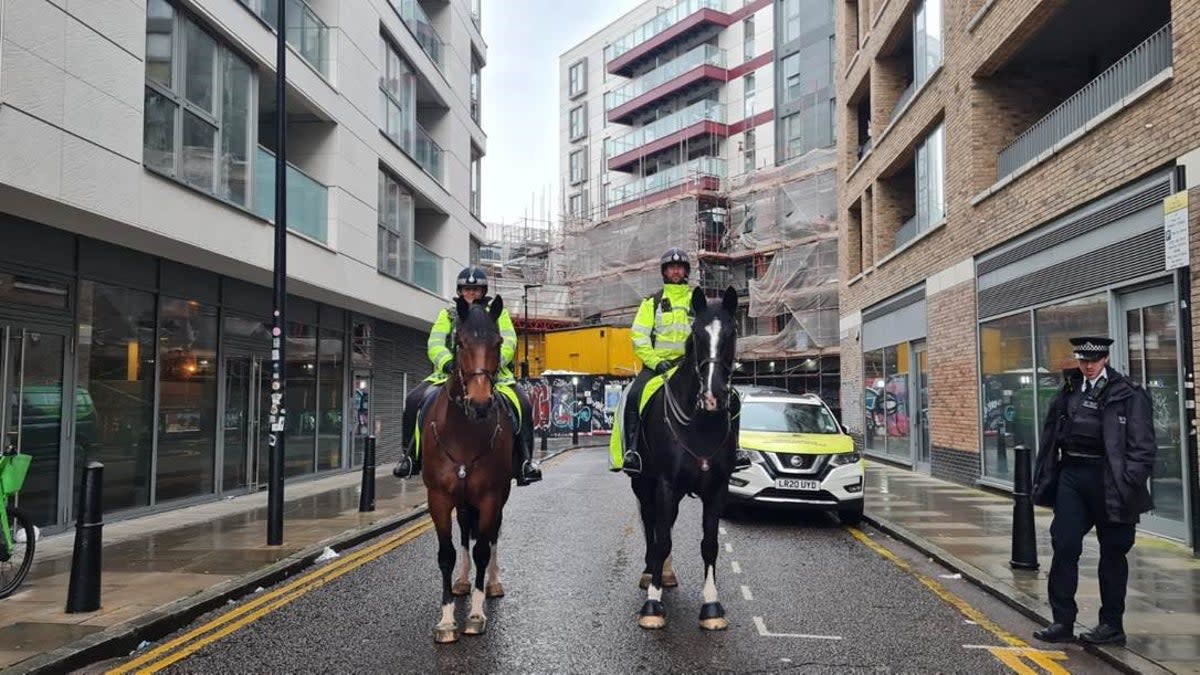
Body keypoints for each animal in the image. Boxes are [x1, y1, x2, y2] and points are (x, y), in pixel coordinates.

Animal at [422, 295, 511, 638]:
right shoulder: (438, 497)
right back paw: (461, 582)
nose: (481, 404)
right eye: (459, 342)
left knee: (493, 534)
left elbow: (483, 549)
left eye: (499, 342)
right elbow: (446, 553)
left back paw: (493, 584)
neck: (463, 432)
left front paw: (475, 613)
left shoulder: (490, 496)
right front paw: (447, 619)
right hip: (461, 500)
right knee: (463, 534)